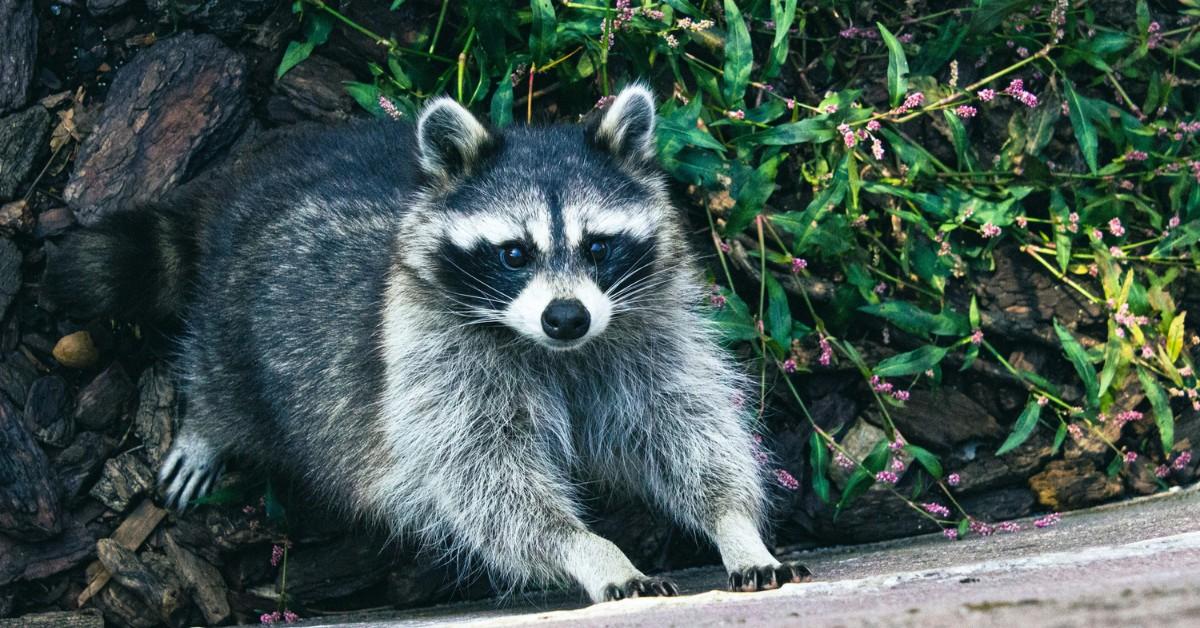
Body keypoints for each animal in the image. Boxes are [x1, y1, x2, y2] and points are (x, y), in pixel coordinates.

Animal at [51, 85, 811, 602]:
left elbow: (684, 428)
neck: (554, 353)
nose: (567, 318)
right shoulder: (437, 363)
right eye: (513, 254)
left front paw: (734, 523)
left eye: (598, 246)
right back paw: (208, 423)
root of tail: (250, 179)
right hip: (233, 321)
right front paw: (591, 550)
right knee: (224, 378)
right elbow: (487, 480)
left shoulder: (646, 330)